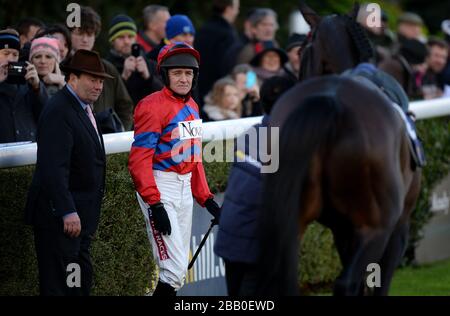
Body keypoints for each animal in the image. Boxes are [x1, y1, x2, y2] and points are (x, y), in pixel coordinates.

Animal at [256, 1, 422, 296]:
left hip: (288, 220)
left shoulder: (341, 228)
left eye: (302, 50)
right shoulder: (399, 227)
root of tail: (330, 103)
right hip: (378, 226)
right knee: (347, 283)